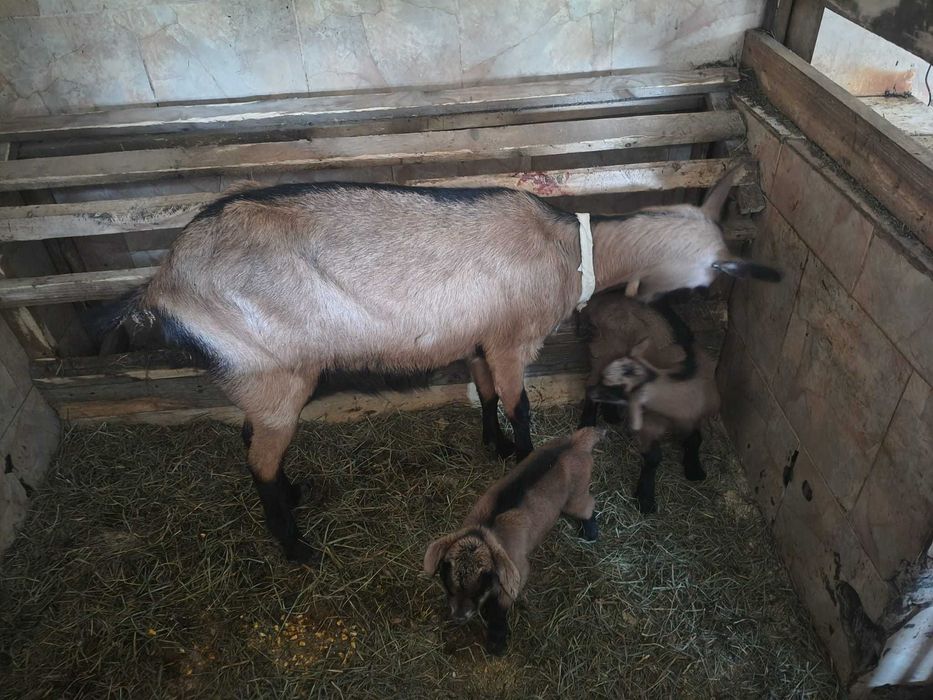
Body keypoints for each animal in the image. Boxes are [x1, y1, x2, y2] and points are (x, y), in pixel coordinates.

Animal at [423, 427, 602, 655]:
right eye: (449, 584)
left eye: (479, 588)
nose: (459, 617)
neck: (485, 530)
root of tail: (576, 442)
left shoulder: (518, 568)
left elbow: (501, 605)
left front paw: (496, 641)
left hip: (577, 495)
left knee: (587, 504)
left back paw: (590, 531)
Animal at [580, 292, 722, 514]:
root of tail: (603, 298)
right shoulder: (649, 421)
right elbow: (654, 457)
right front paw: (645, 498)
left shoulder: (693, 416)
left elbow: (695, 439)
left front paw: (695, 469)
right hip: (603, 349)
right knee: (591, 379)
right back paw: (588, 420)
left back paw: (611, 415)